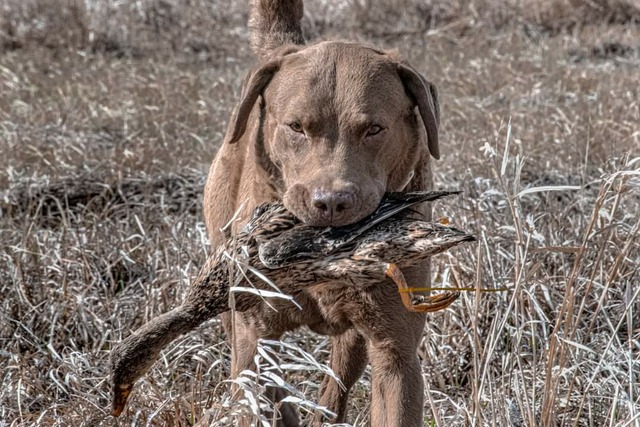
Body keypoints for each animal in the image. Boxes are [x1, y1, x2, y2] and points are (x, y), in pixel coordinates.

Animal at [204, 1, 440, 426]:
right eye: (296, 127)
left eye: (374, 129)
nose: (330, 202)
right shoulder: (253, 334)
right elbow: (258, 389)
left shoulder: (396, 352)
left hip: (354, 336)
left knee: (336, 382)